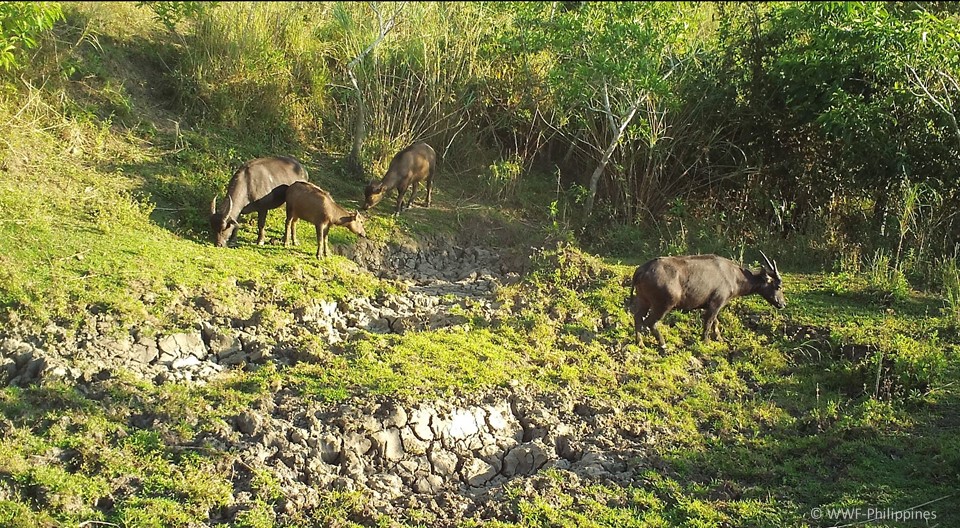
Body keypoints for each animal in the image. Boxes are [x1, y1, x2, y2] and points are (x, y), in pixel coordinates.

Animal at [632, 253, 788, 348]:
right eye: (778, 286)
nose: (783, 303)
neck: (734, 276)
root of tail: (642, 270)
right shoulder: (716, 303)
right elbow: (708, 322)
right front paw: (706, 340)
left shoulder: (712, 306)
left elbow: (715, 322)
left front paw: (719, 337)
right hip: (663, 305)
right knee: (650, 322)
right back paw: (662, 344)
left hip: (643, 300)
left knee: (638, 318)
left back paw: (640, 343)